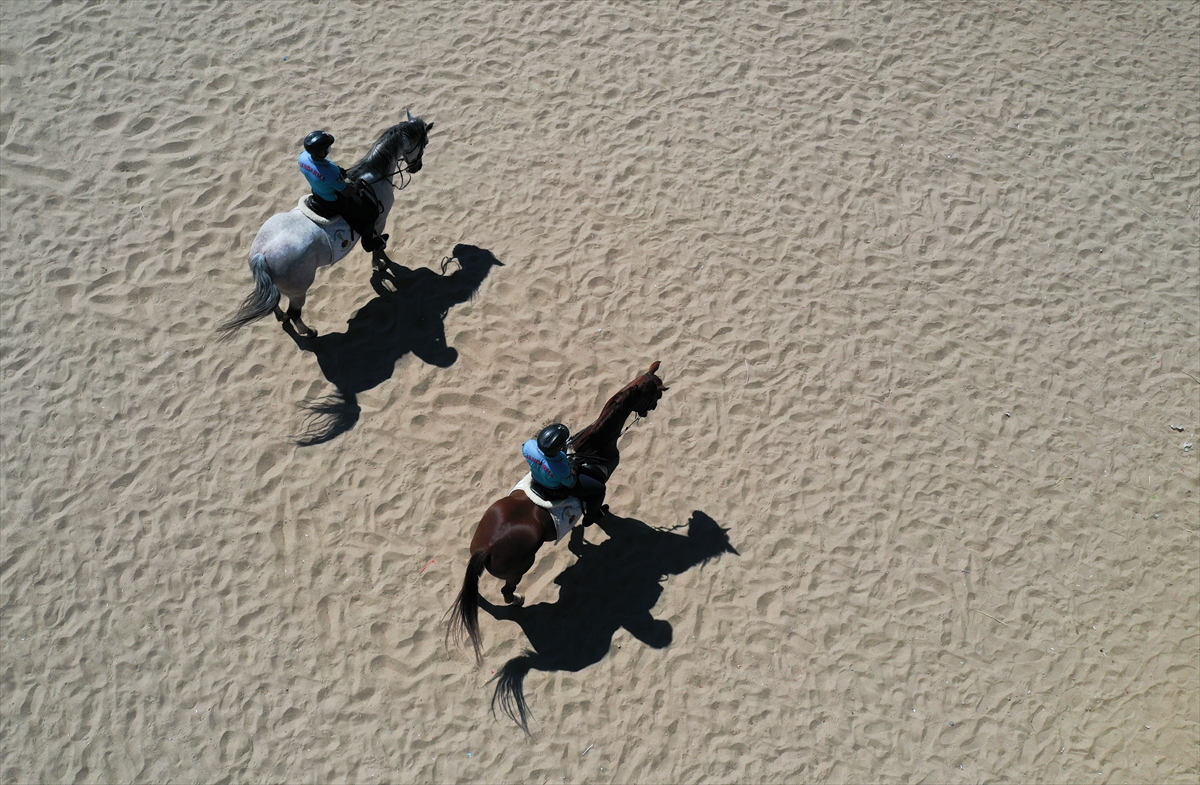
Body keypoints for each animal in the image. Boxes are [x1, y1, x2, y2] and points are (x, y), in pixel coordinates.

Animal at [219, 111, 432, 340]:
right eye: (425, 142)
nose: (417, 167)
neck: (373, 177)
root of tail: (262, 255)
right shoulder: (379, 221)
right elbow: (377, 245)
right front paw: (380, 261)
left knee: (277, 305)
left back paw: (282, 318)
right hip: (298, 291)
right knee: (294, 313)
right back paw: (309, 332)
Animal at [451, 362, 672, 662]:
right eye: (655, 394)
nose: (653, 408)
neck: (593, 446)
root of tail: (486, 547)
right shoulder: (598, 487)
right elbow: (597, 509)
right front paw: (598, 516)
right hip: (519, 568)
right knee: (507, 590)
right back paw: (517, 601)